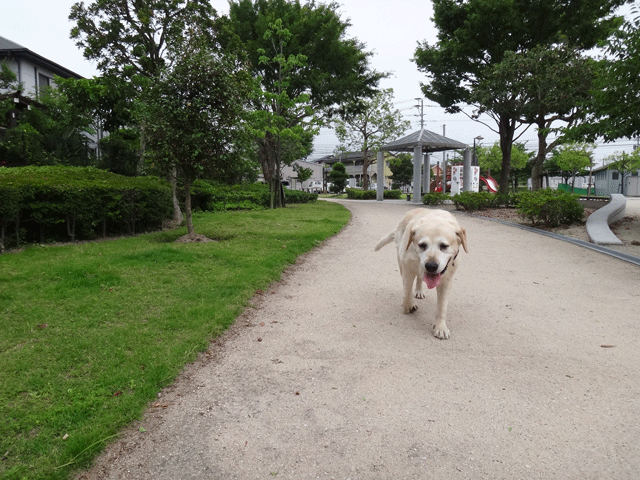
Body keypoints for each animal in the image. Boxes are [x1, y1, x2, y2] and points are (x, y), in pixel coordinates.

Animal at [376, 208, 470, 340]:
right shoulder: (407, 270)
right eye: (422, 245)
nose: (431, 266)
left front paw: (440, 327)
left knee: (420, 279)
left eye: (444, 246)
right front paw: (408, 306)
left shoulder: (446, 282)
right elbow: (407, 293)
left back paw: (419, 290)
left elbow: (442, 307)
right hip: (401, 264)